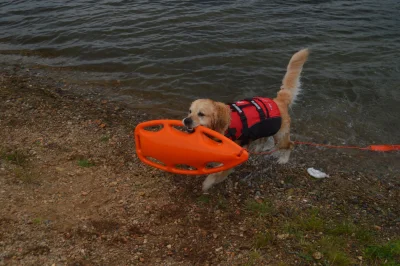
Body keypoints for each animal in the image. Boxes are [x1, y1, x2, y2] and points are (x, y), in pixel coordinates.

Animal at [182, 48, 310, 191]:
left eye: (201, 114)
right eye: (190, 111)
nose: (186, 120)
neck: (223, 126)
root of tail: (278, 101)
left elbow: (216, 174)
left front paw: (207, 184)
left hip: (280, 136)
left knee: (290, 145)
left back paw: (284, 159)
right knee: (263, 140)